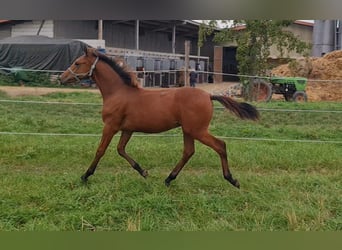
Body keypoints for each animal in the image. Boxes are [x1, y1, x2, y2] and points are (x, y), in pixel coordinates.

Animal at [60, 47, 260, 188]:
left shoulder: (111, 126)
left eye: (77, 63)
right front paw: (143, 172)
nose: (61, 78)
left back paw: (232, 179)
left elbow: (101, 150)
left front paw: (85, 175)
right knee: (188, 152)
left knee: (220, 145)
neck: (118, 92)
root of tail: (208, 95)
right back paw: (169, 179)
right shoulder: (127, 129)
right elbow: (120, 149)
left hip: (197, 130)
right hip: (188, 130)